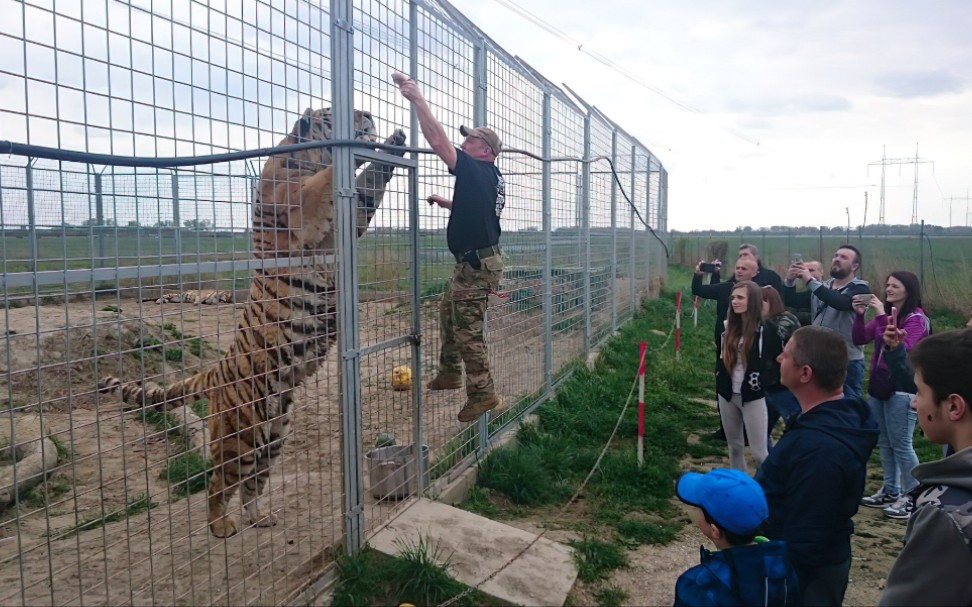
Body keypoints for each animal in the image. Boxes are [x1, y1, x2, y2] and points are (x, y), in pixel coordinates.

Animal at [96, 108, 406, 536]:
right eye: (333, 113)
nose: (369, 115)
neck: (302, 155)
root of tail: (217, 371)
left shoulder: (348, 221)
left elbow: (369, 184)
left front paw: (393, 143)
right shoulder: (304, 206)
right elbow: (330, 178)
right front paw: (361, 144)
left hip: (274, 433)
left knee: (252, 483)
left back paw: (260, 517)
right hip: (240, 434)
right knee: (218, 483)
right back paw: (221, 526)